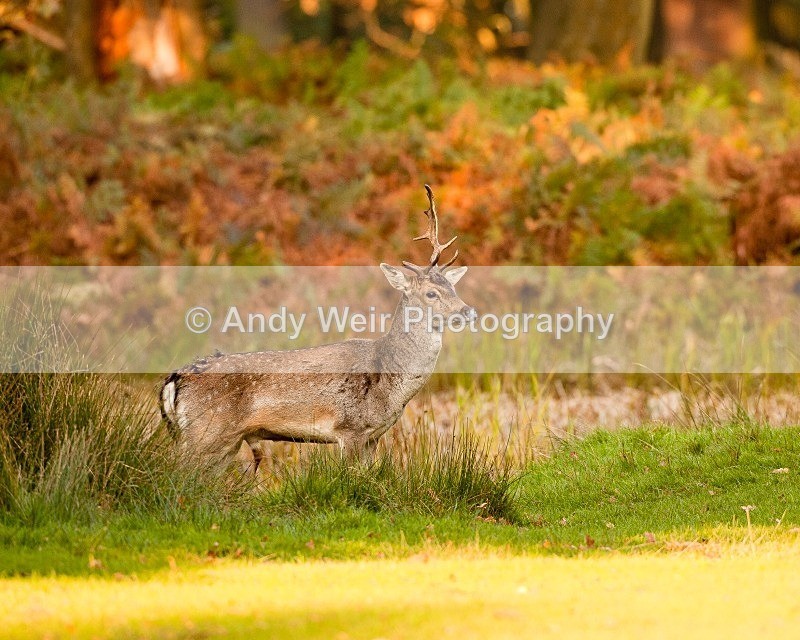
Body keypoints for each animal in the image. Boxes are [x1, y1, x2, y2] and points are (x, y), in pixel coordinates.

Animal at [160, 185, 476, 471]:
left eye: (454, 288)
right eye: (431, 293)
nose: (468, 311)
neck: (389, 376)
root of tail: (174, 379)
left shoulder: (372, 437)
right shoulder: (350, 427)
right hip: (207, 432)